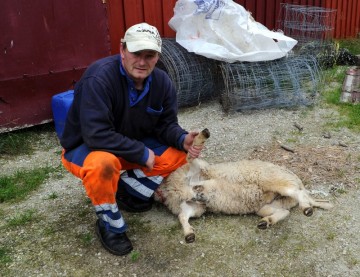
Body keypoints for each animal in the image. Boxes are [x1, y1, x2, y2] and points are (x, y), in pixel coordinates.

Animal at [153, 128, 334, 242]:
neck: (171, 188)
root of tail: (298, 180)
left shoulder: (199, 168)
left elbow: (191, 154)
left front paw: (203, 134)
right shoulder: (193, 206)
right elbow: (183, 217)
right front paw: (189, 234)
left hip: (275, 180)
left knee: (298, 193)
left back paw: (306, 208)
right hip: (268, 205)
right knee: (285, 211)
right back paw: (266, 222)